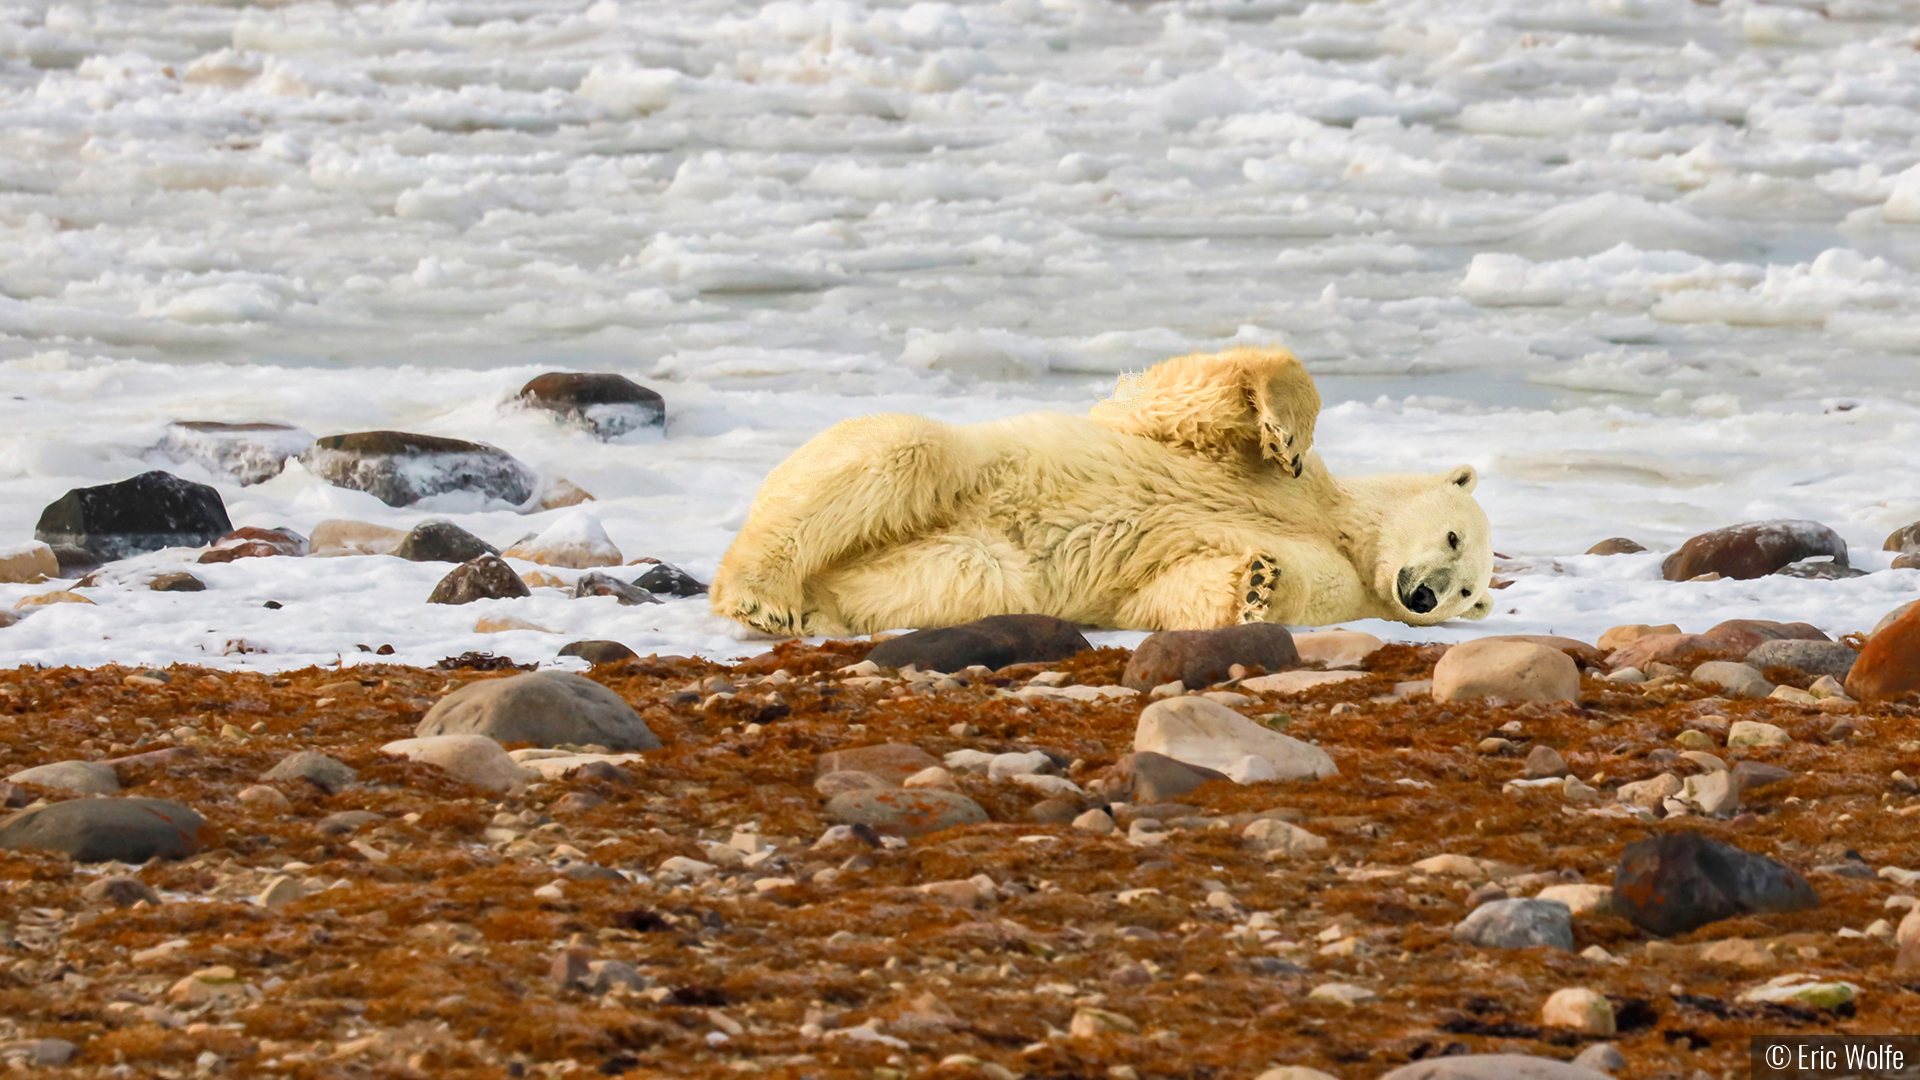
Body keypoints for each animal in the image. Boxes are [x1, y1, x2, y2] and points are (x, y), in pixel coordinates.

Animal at [710, 346, 1494, 636]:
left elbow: (1170, 590)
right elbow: (1192, 399)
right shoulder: (1270, 477)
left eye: (1468, 591)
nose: (1424, 595)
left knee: (965, 575)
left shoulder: (1343, 583)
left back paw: (812, 610)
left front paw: (1258, 585)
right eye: (1454, 534)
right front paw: (1283, 428)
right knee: (902, 452)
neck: (1342, 526)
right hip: (964, 472)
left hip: (966, 566)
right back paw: (760, 591)